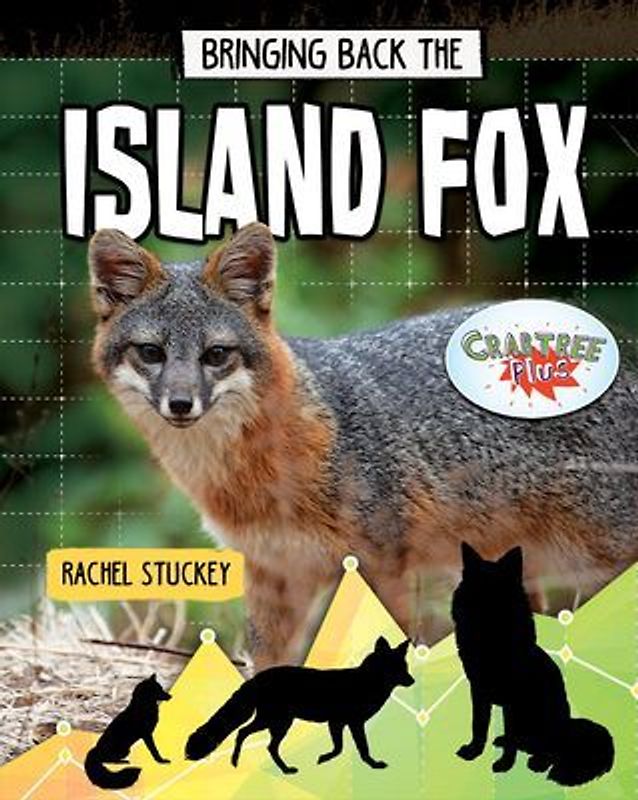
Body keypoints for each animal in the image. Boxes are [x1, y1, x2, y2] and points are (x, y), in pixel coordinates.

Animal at [185, 636, 413, 774]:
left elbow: (339, 748)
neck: (366, 682)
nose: (412, 681)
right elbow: (360, 747)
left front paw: (324, 758)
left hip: (277, 723)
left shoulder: (337, 723)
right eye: (397, 668)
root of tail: (258, 678)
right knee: (245, 733)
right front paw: (373, 764)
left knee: (263, 743)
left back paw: (281, 769)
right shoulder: (350, 723)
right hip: (274, 721)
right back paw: (239, 762)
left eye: (405, 666)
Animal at [452, 543, 614, 786]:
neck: (492, 639)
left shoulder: (512, 699)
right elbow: (478, 726)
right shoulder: (478, 692)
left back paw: (538, 762)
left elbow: (509, 736)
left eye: (499, 591)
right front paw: (473, 752)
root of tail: (569, 726)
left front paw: (504, 765)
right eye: (477, 589)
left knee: (549, 748)